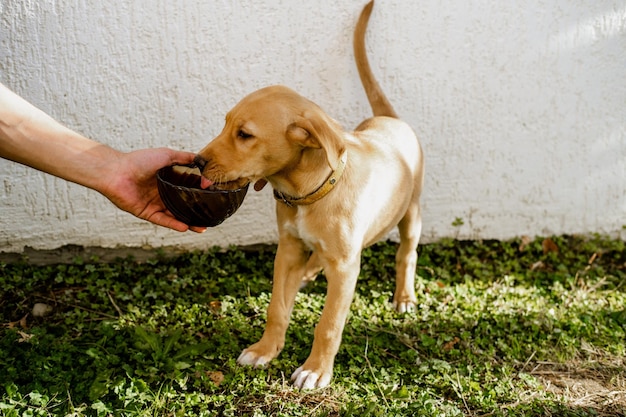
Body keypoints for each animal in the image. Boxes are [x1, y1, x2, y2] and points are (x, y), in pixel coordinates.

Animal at [193, 0, 422, 388]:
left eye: (245, 134)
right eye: (226, 125)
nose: (197, 162)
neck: (310, 194)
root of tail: (390, 120)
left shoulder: (345, 268)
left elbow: (328, 324)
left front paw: (316, 370)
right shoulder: (288, 250)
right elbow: (277, 308)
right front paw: (264, 350)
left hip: (412, 212)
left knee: (407, 253)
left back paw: (403, 295)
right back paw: (311, 272)